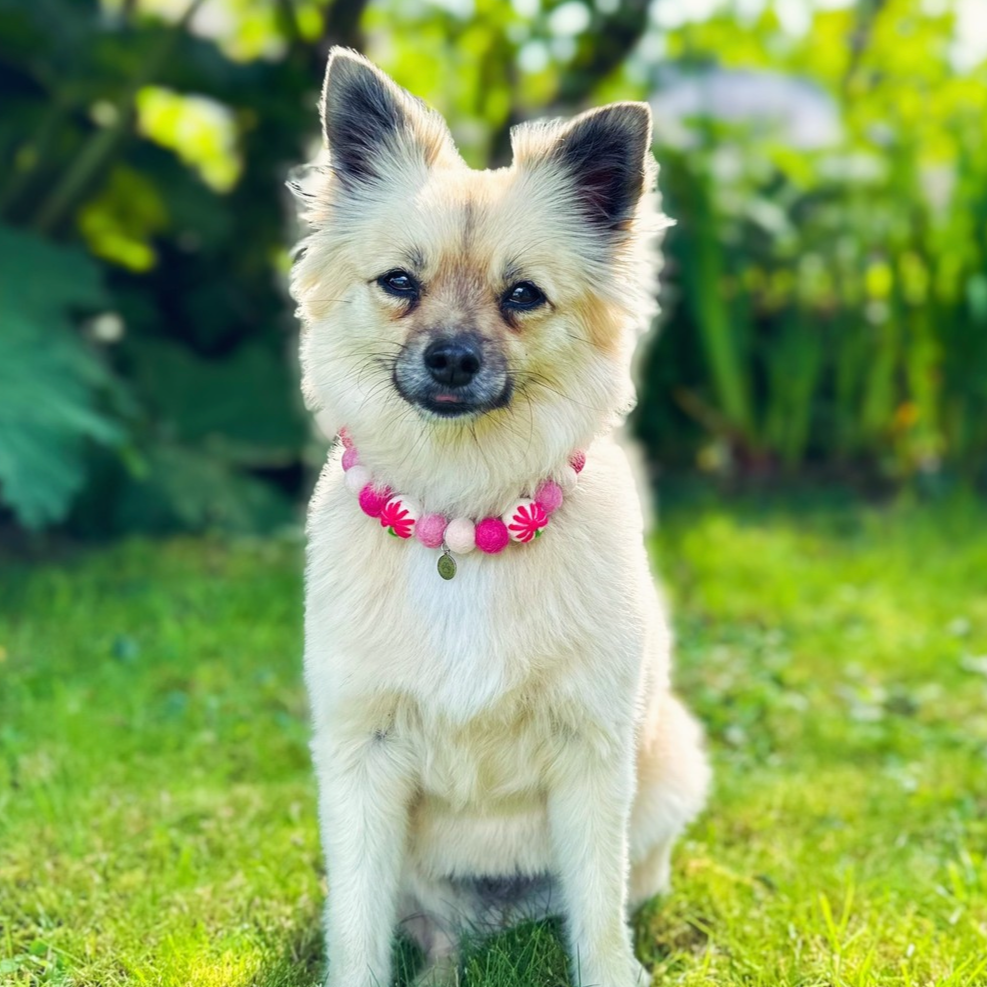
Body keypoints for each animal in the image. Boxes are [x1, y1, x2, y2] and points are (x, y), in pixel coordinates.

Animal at [290, 48, 712, 987]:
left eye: (522, 295)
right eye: (399, 284)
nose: (451, 357)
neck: (461, 511)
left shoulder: (591, 755)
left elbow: (595, 911)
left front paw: (610, 971)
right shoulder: (362, 758)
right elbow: (359, 922)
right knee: (428, 926)